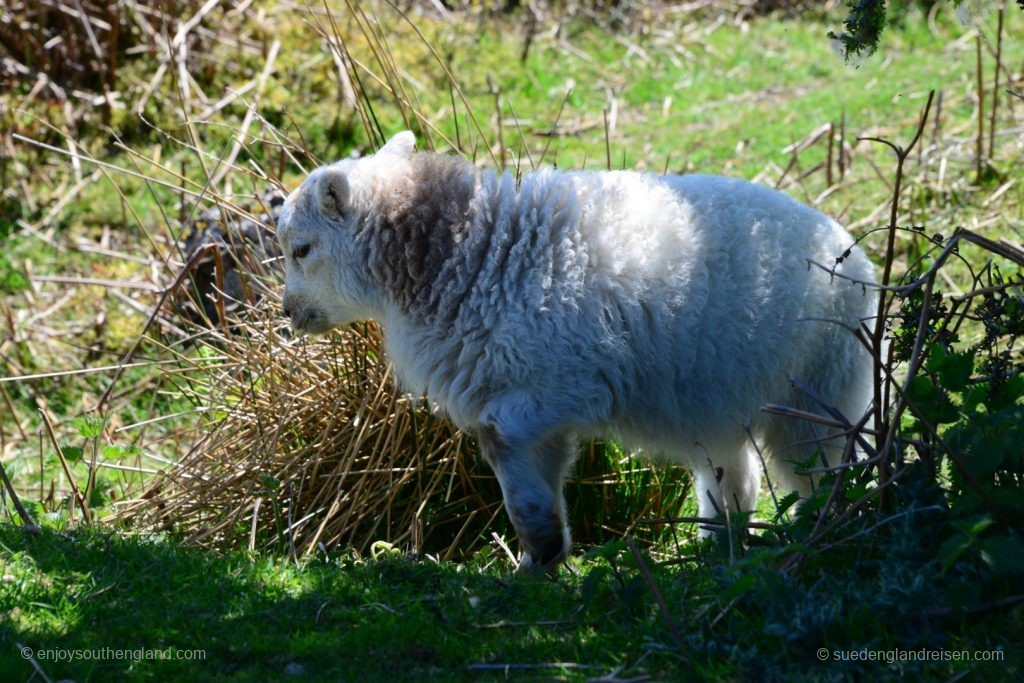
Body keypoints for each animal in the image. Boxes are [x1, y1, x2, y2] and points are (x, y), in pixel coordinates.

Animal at [276, 132, 876, 573]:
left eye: (301, 249)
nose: (288, 313)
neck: (463, 256)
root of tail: (855, 257)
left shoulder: (561, 384)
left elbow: (497, 439)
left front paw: (538, 553)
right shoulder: (534, 398)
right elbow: (525, 474)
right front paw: (541, 555)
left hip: (819, 388)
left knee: (825, 467)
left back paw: (828, 528)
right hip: (717, 396)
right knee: (735, 475)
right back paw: (719, 544)